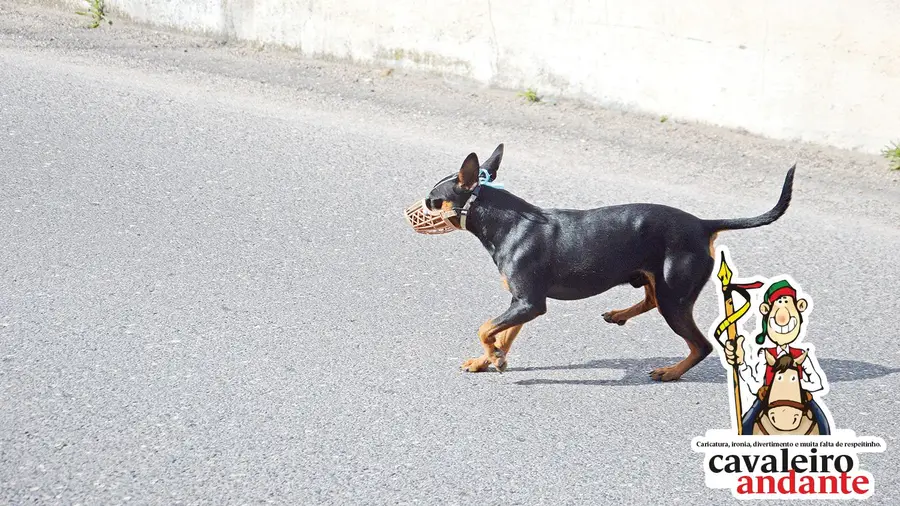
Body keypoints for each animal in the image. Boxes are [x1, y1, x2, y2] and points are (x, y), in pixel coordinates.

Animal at [408, 142, 796, 380]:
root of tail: (703, 225)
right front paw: (489, 360)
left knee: (700, 344)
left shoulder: (530, 303)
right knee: (651, 299)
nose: (412, 210)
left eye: (431, 200)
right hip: (658, 281)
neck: (508, 221)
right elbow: (501, 334)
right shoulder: (523, 303)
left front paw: (492, 357)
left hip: (675, 297)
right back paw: (619, 315)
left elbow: (486, 327)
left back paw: (670, 371)